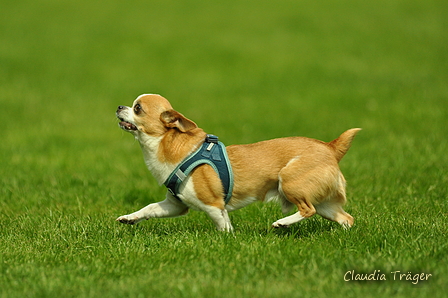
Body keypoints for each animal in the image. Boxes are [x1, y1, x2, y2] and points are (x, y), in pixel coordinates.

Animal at [115, 94, 360, 232]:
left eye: (137, 108)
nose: (119, 107)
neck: (166, 145)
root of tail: (330, 147)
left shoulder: (213, 204)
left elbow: (222, 223)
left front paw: (227, 238)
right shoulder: (175, 204)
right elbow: (149, 208)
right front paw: (129, 218)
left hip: (290, 181)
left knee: (307, 210)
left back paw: (281, 223)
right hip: (324, 203)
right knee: (346, 218)